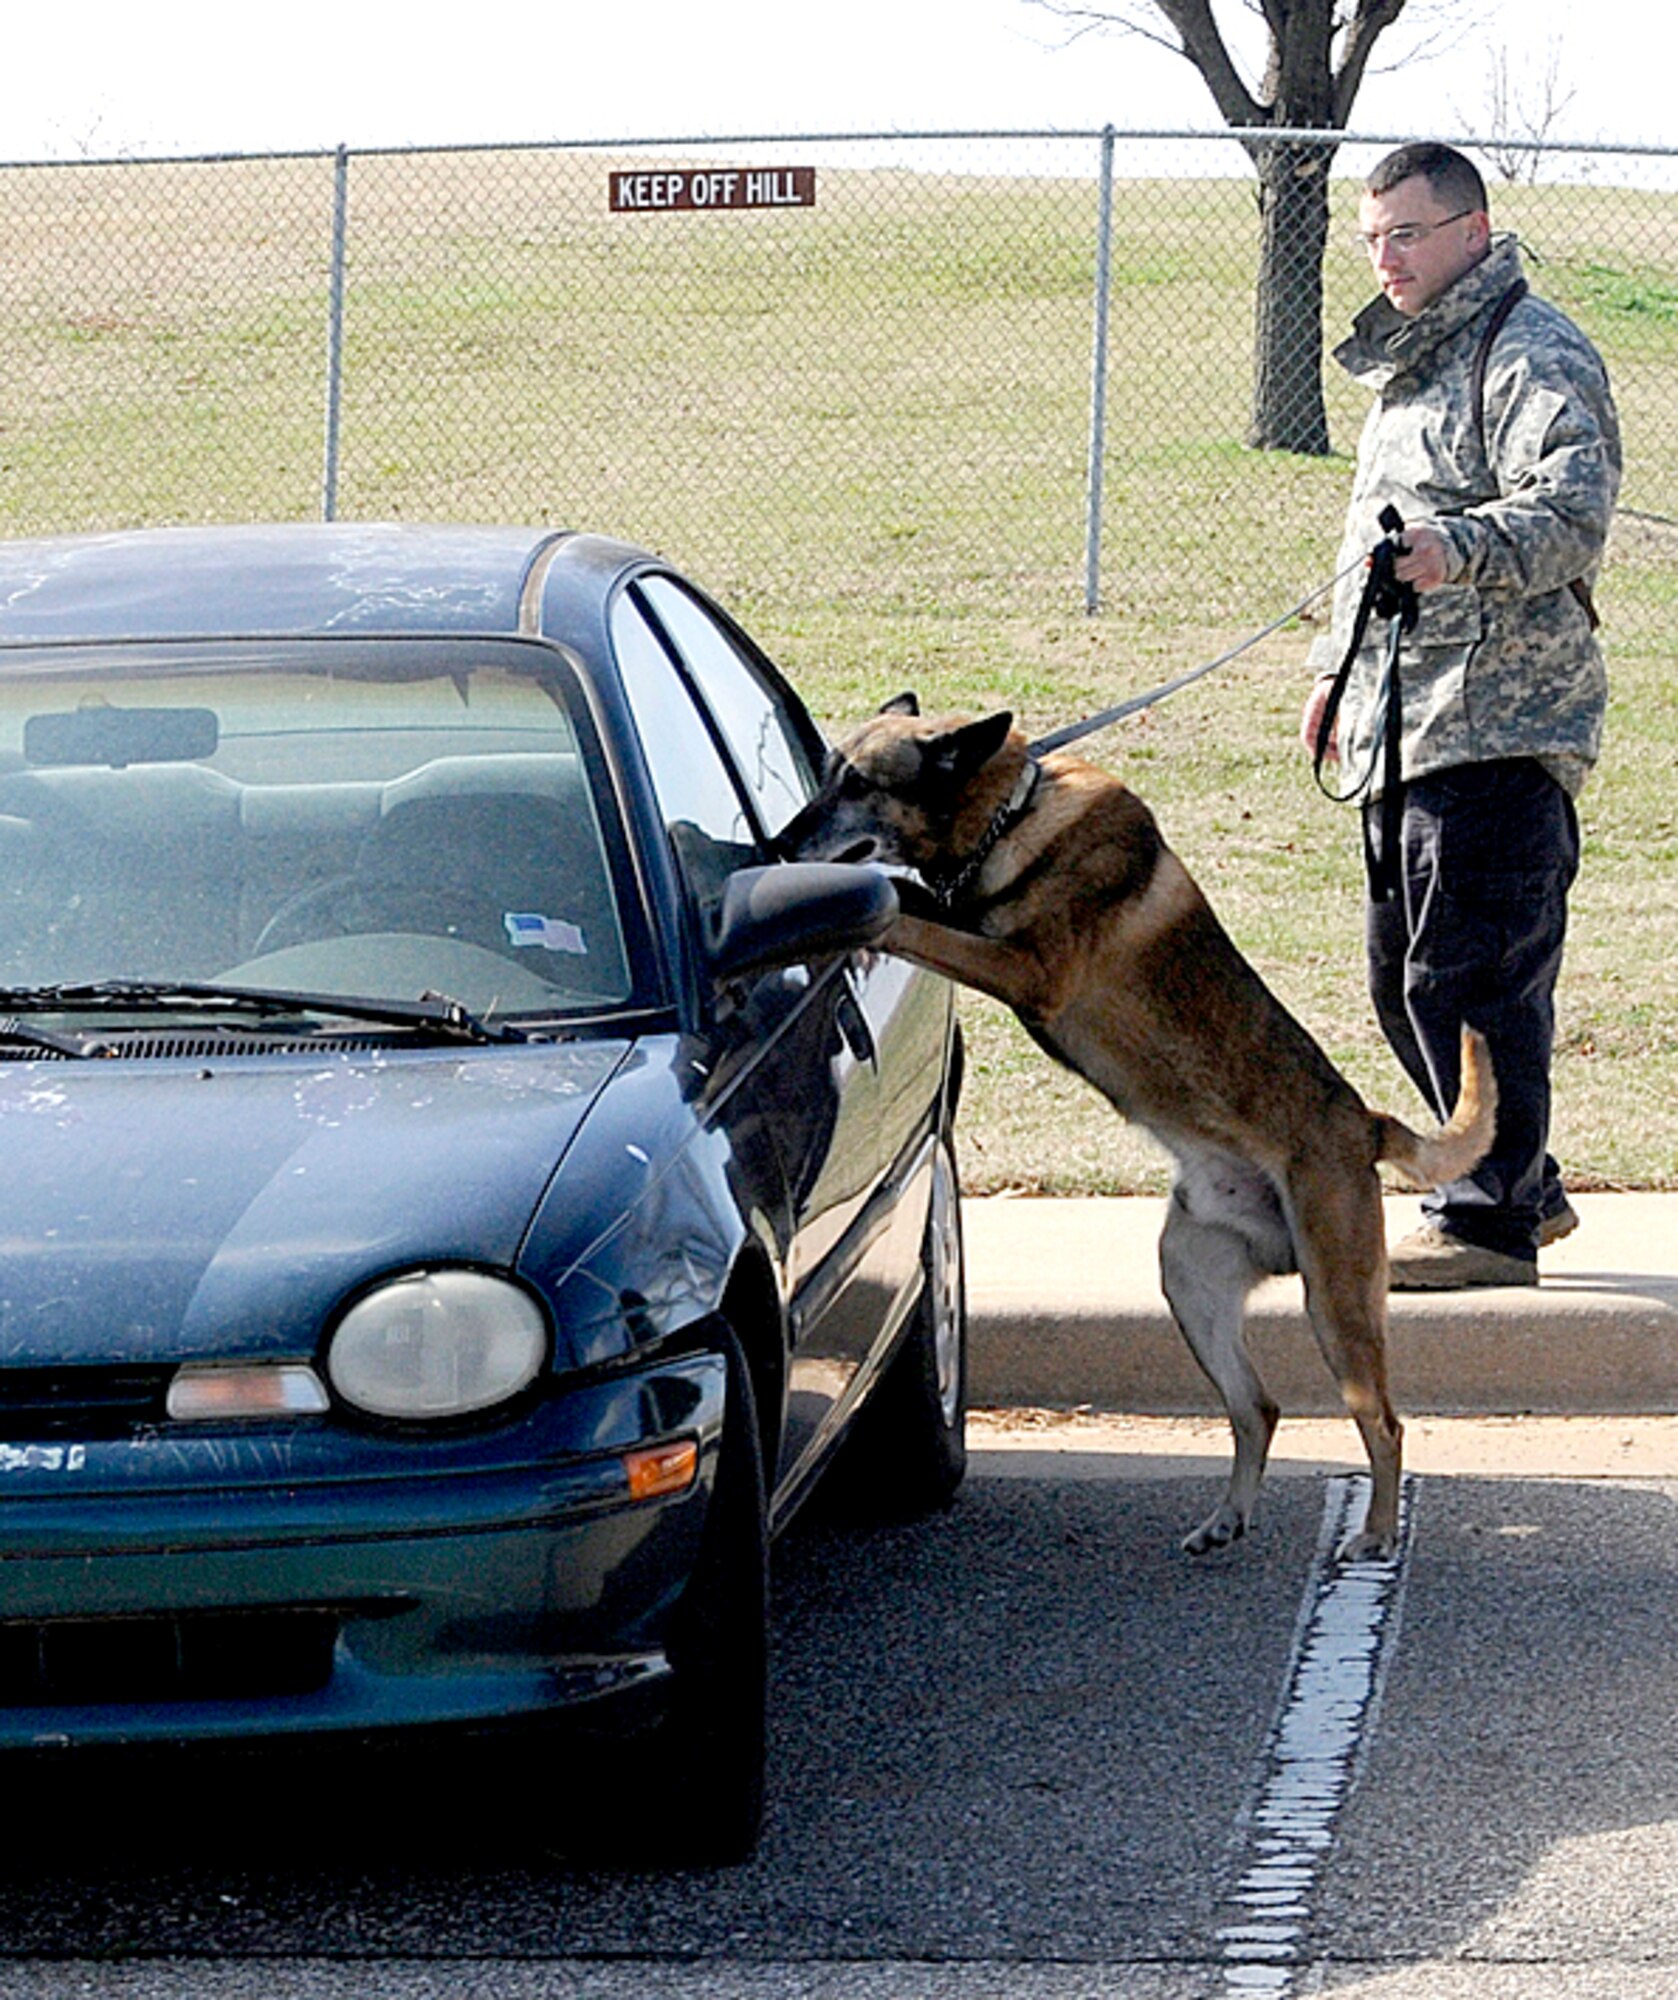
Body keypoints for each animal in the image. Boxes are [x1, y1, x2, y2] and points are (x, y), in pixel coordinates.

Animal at [784, 700, 1496, 1560]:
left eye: (859, 783)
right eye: (828, 771)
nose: (780, 845)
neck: (1009, 814)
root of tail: (1366, 1124)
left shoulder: (1025, 970)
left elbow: (914, 923)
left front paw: (865, 920)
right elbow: (918, 902)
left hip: (1337, 1306)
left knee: (1384, 1424)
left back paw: (1378, 1532)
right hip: (1189, 1281)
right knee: (1257, 1409)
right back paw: (1228, 1517)